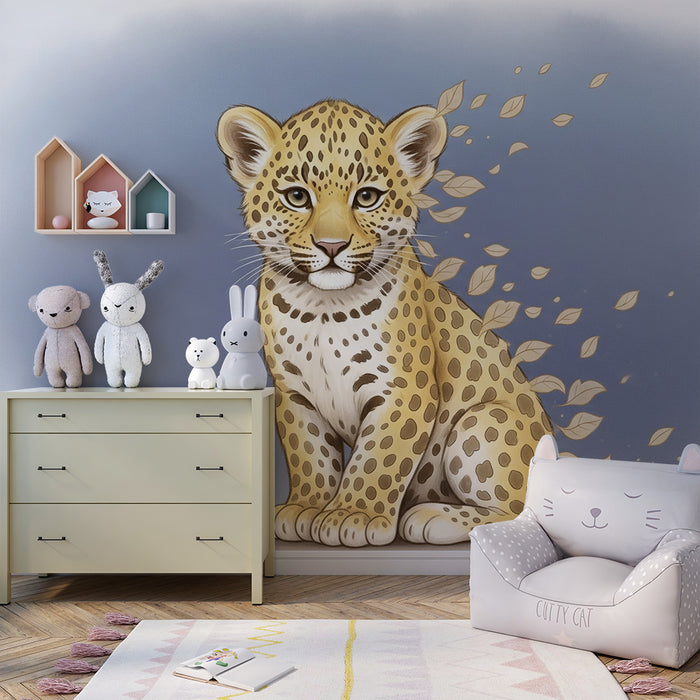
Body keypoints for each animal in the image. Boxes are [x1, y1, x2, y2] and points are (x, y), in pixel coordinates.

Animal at [217, 99, 553, 547]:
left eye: (367, 197)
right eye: (296, 197)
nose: (331, 246)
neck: (322, 308)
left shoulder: (403, 390)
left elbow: (379, 457)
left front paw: (352, 516)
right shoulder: (294, 394)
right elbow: (310, 455)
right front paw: (305, 507)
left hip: (482, 422)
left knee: (518, 512)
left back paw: (432, 517)